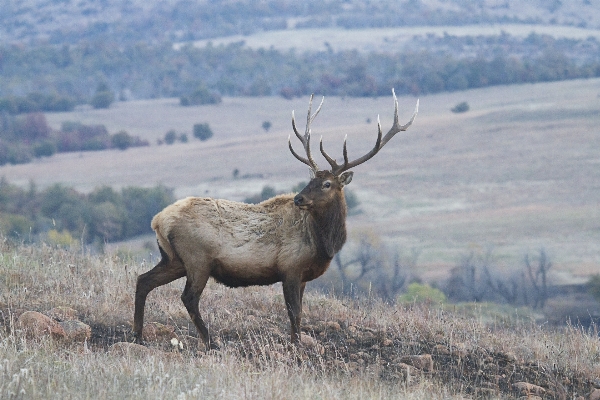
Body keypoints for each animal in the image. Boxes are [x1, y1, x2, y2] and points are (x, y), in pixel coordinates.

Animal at [134, 89, 420, 346]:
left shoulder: (302, 276)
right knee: (188, 298)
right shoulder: (290, 268)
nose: (299, 199)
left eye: (326, 183)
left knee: (143, 280)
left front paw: (296, 343)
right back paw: (210, 341)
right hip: (197, 258)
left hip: (173, 258)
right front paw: (297, 347)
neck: (323, 243)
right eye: (311, 180)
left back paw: (138, 335)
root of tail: (158, 221)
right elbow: (294, 313)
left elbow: (298, 313)